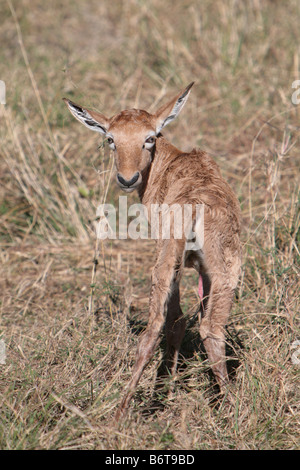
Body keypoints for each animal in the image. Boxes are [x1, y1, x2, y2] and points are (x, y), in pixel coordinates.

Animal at [63, 83, 241, 418]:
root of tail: (196, 203)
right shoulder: (203, 269)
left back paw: (121, 413)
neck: (171, 162)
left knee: (155, 329)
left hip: (165, 260)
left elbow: (174, 322)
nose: (127, 178)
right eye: (111, 138)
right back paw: (231, 409)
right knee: (211, 328)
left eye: (149, 137)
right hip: (227, 269)